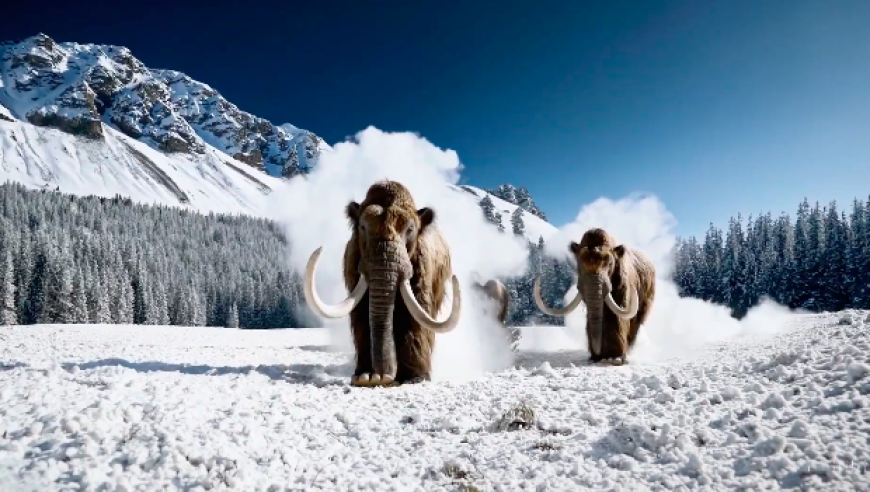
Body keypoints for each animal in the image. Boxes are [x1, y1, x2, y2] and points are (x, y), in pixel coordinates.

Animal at [304, 179, 464, 386]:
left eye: (410, 230)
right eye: (363, 227)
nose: (382, 376)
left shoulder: (422, 267)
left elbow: (414, 314)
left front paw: (414, 378)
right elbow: (362, 312)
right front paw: (365, 377)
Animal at [536, 229, 656, 364]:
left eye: (610, 263)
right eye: (579, 262)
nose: (597, 355)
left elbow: (618, 315)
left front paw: (615, 357)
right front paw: (597, 356)